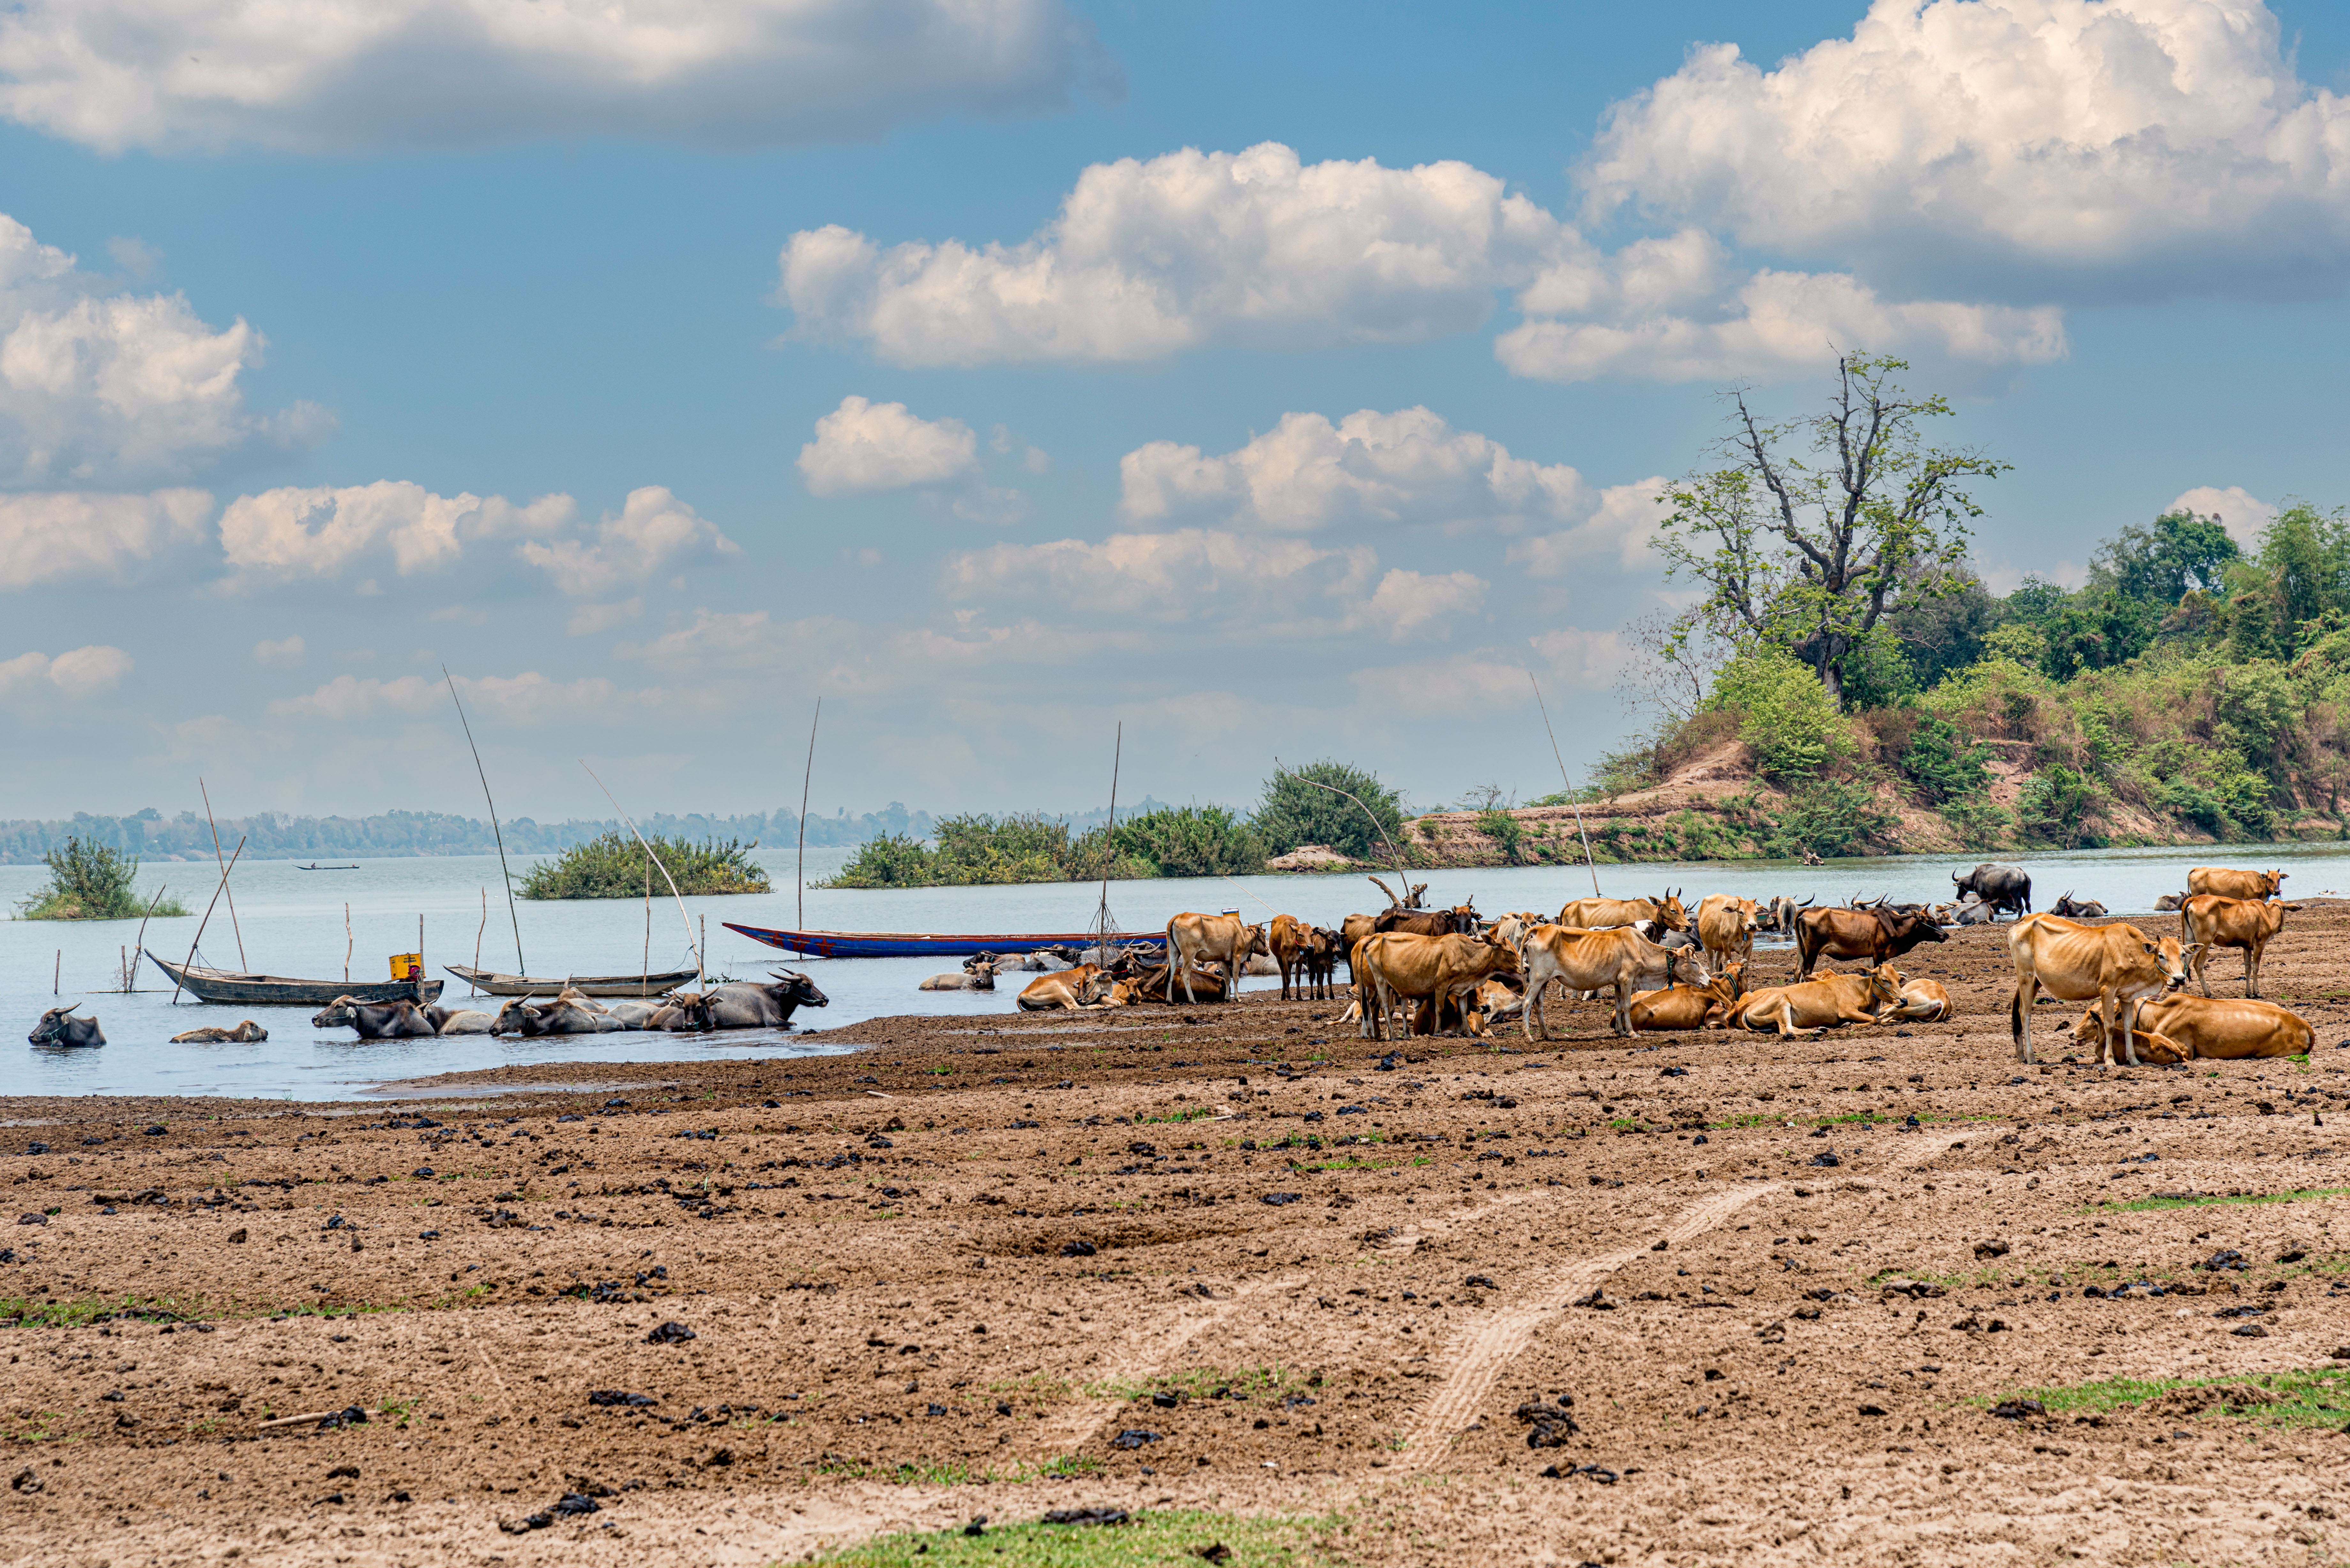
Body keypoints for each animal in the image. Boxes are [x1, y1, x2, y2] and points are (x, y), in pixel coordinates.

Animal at [1729, 964, 1908, 1034]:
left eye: (1898, 979)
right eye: (1885, 980)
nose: (1904, 1001)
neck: (1861, 988)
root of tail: (1747, 1010)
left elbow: (1879, 1019)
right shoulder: (1846, 1010)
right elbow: (1874, 1020)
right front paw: (1850, 1025)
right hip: (1783, 1003)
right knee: (1788, 1030)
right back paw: (1817, 1030)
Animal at [1955, 860, 2030, 921]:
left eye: (1959, 886)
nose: (1958, 896)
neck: (1975, 879)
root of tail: (2024, 874)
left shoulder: (1982, 895)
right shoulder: (1990, 897)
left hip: (2016, 896)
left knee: (2021, 908)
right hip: (2026, 895)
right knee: (2028, 906)